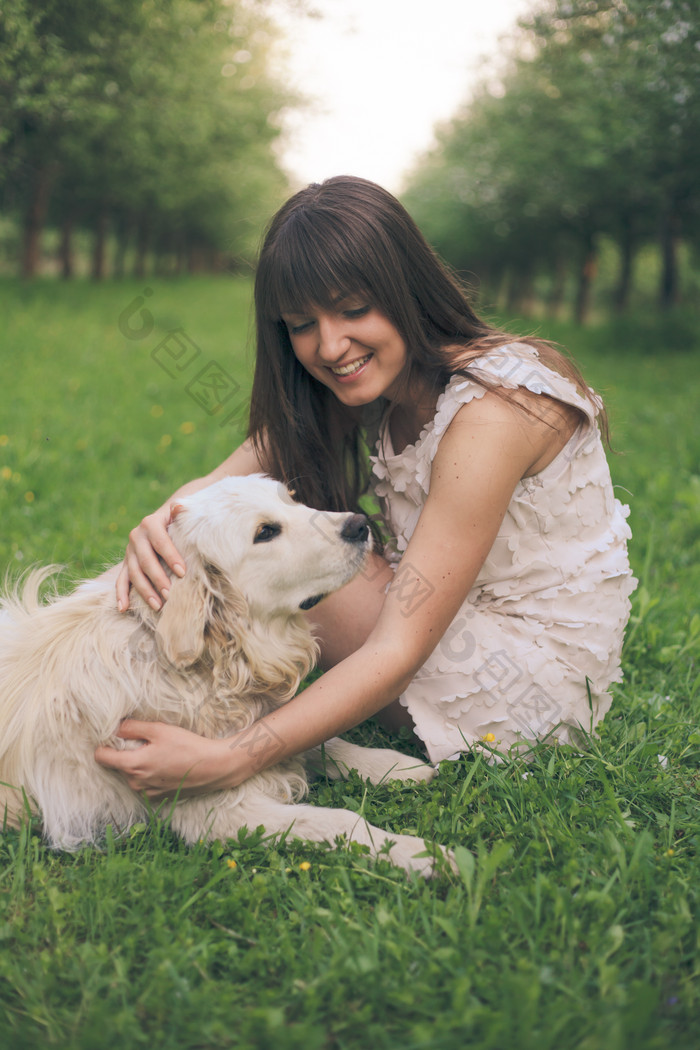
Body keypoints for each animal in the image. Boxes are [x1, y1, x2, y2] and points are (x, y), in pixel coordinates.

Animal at [0, 478, 442, 877]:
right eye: (265, 532)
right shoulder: (213, 809)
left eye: (292, 500)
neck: (209, 664)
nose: (359, 524)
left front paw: (395, 766)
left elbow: (315, 738)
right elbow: (339, 819)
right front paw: (417, 853)